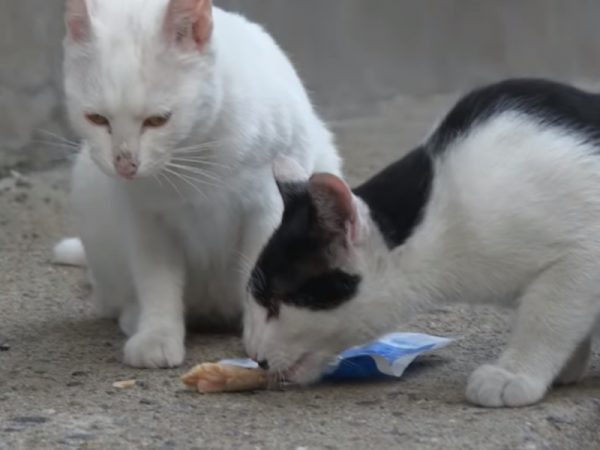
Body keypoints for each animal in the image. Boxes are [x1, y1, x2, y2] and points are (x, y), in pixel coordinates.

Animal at [56, 0, 342, 370]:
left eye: (158, 120)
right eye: (96, 119)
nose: (125, 164)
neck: (194, 157)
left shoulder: (268, 208)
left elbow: (259, 270)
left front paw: (263, 334)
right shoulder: (146, 219)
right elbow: (157, 281)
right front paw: (157, 335)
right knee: (112, 299)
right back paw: (134, 316)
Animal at [245, 79, 600, 410]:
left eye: (275, 302)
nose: (255, 355)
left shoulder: (584, 253)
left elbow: (547, 317)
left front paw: (517, 373)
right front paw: (566, 367)